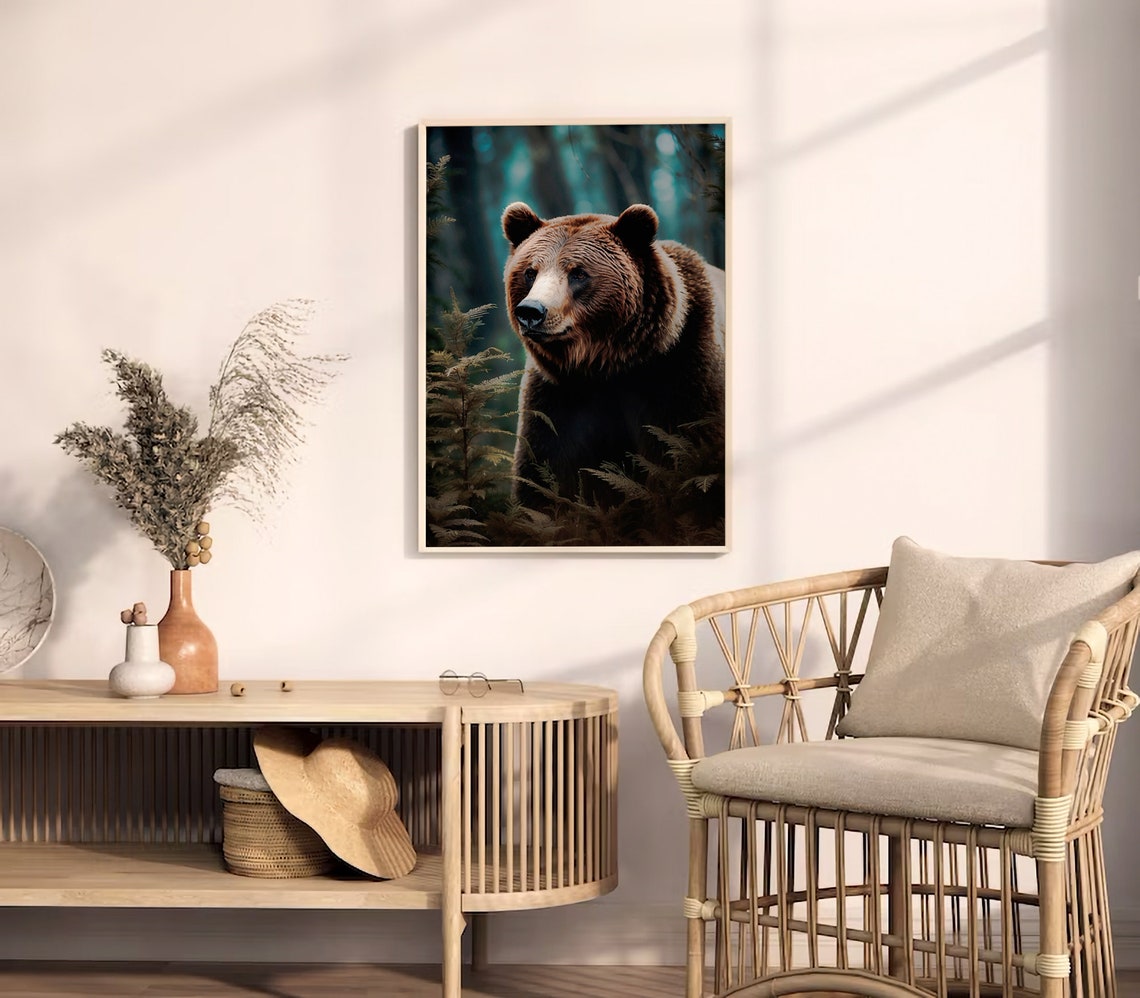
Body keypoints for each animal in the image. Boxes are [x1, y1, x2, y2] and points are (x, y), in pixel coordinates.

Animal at [501, 200, 726, 527]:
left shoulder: (683, 371)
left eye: (578, 273)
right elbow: (544, 479)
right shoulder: (557, 397)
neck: (608, 366)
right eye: (530, 272)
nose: (531, 311)